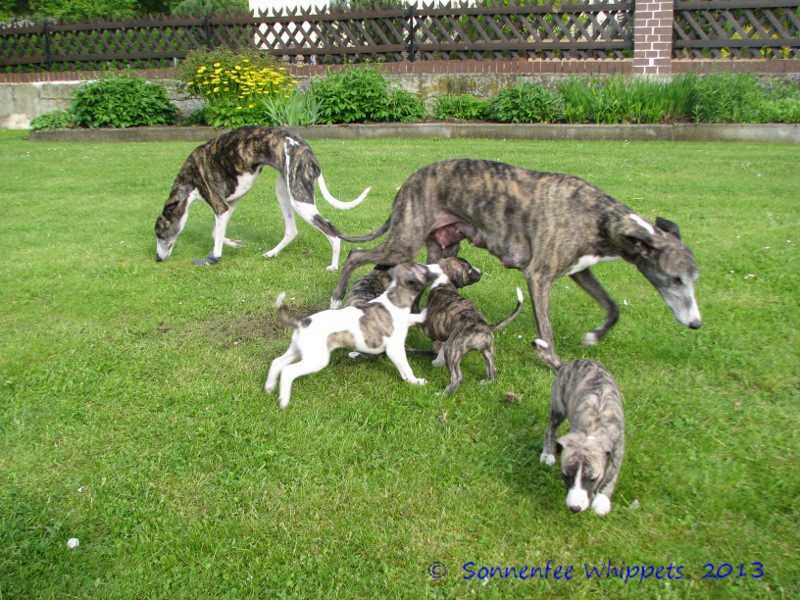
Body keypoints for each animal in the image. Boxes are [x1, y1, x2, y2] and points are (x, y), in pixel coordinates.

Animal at [155, 125, 370, 269]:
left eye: (159, 233)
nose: (157, 258)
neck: (188, 177)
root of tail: (307, 151)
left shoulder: (219, 205)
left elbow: (216, 242)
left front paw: (214, 258)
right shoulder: (229, 204)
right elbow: (216, 232)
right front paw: (235, 243)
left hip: (299, 198)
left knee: (332, 232)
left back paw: (333, 266)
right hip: (283, 190)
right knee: (292, 230)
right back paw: (272, 253)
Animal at [264, 262, 440, 408]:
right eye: (423, 269)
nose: (438, 267)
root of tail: (302, 323)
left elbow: (414, 318)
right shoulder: (395, 350)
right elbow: (406, 369)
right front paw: (416, 382)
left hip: (297, 350)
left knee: (277, 362)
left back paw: (269, 386)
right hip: (316, 360)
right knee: (288, 371)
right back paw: (283, 399)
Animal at [316, 159, 701, 369]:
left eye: (694, 277)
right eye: (675, 279)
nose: (696, 324)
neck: (599, 216)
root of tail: (408, 182)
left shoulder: (580, 270)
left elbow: (612, 306)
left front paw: (594, 335)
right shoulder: (539, 276)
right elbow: (546, 329)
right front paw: (553, 363)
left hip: (441, 247)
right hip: (405, 240)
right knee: (355, 255)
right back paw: (336, 298)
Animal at [420, 257, 523, 394]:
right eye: (469, 269)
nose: (481, 272)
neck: (445, 282)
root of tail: (481, 326)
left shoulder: (431, 327)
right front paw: (437, 362)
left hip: (452, 351)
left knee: (457, 379)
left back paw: (442, 394)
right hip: (487, 349)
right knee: (492, 370)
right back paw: (485, 383)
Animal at [537, 341, 624, 516]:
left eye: (592, 479)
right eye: (565, 475)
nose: (575, 508)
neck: (594, 427)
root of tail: (566, 364)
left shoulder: (618, 447)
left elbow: (611, 475)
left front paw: (602, 500)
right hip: (558, 407)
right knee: (550, 429)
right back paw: (548, 453)